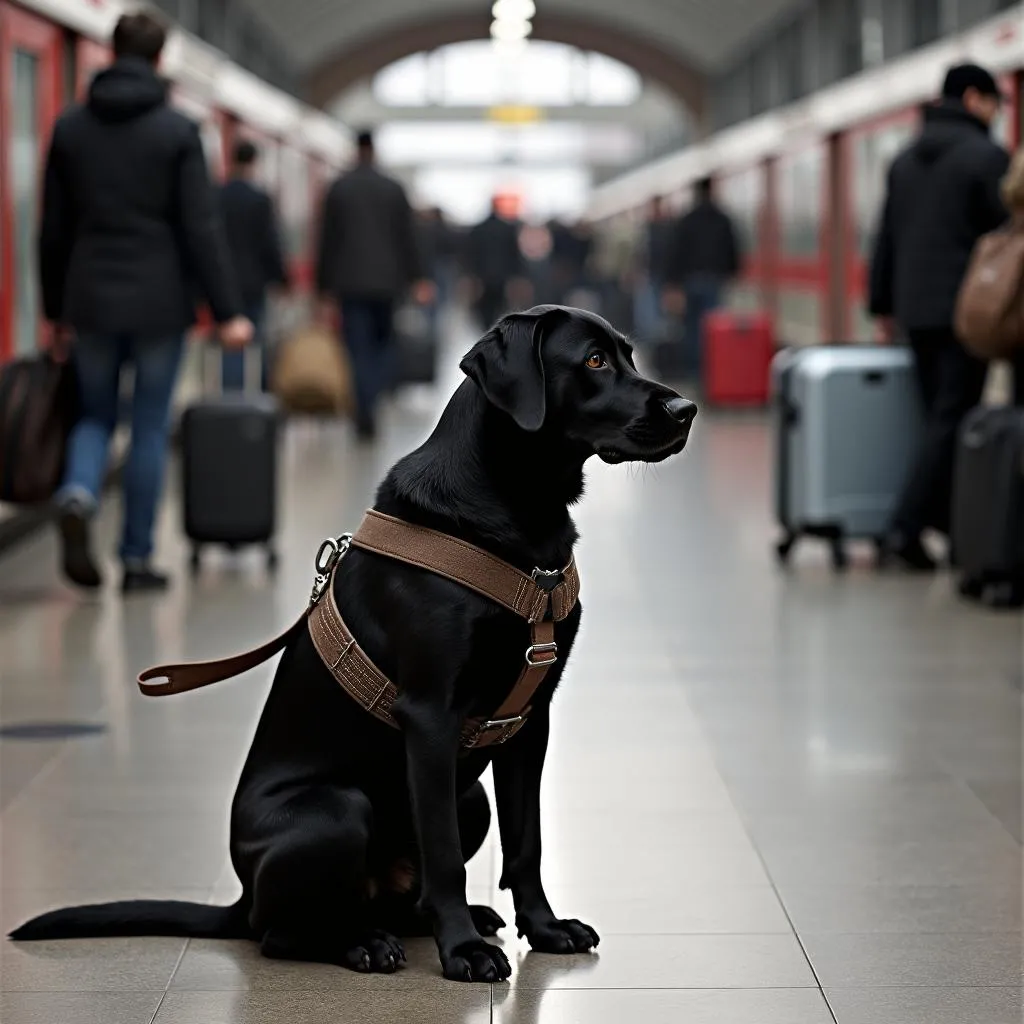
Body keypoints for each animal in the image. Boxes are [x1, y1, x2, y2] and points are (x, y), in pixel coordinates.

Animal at [9, 303, 696, 983]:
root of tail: (242, 896)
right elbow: (444, 853)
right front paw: (463, 953)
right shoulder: (431, 717)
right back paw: (363, 944)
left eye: (629, 354)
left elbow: (527, 842)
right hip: (335, 813)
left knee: (397, 898)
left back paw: (439, 921)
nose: (686, 408)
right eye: (594, 360)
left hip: (469, 796)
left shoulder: (530, 718)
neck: (520, 510)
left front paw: (545, 929)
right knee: (283, 933)